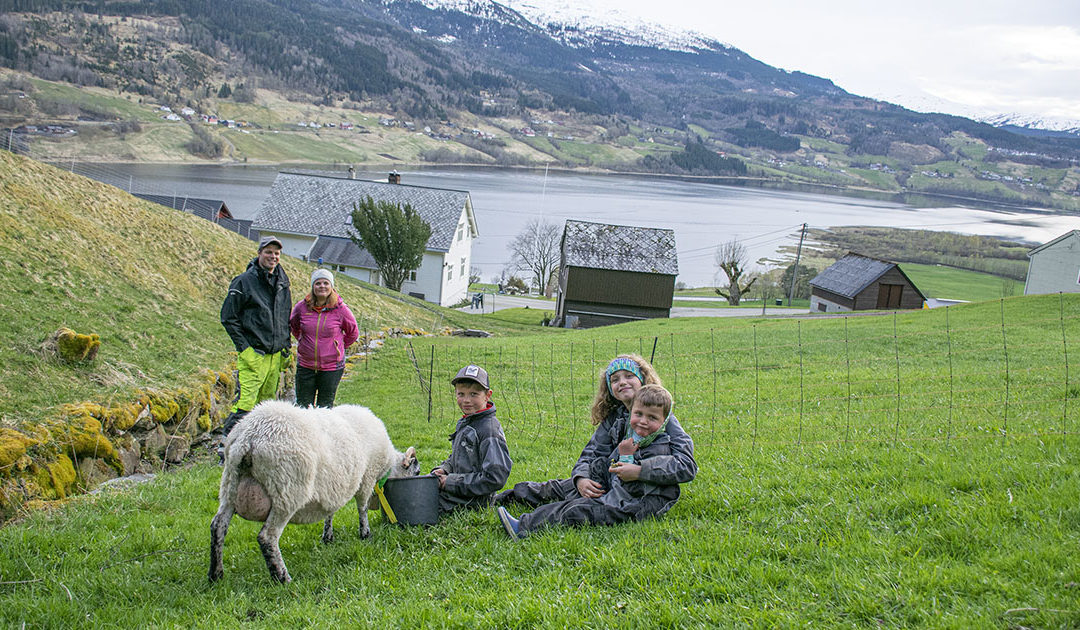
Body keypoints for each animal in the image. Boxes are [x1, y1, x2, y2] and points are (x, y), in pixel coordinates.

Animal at [208, 401, 419, 583]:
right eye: (416, 472)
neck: (387, 464)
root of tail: (249, 437)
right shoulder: (366, 478)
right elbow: (362, 508)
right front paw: (365, 534)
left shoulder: (334, 486)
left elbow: (330, 512)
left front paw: (328, 537)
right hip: (286, 491)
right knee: (267, 536)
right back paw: (282, 578)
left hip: (230, 485)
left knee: (218, 526)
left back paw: (216, 574)